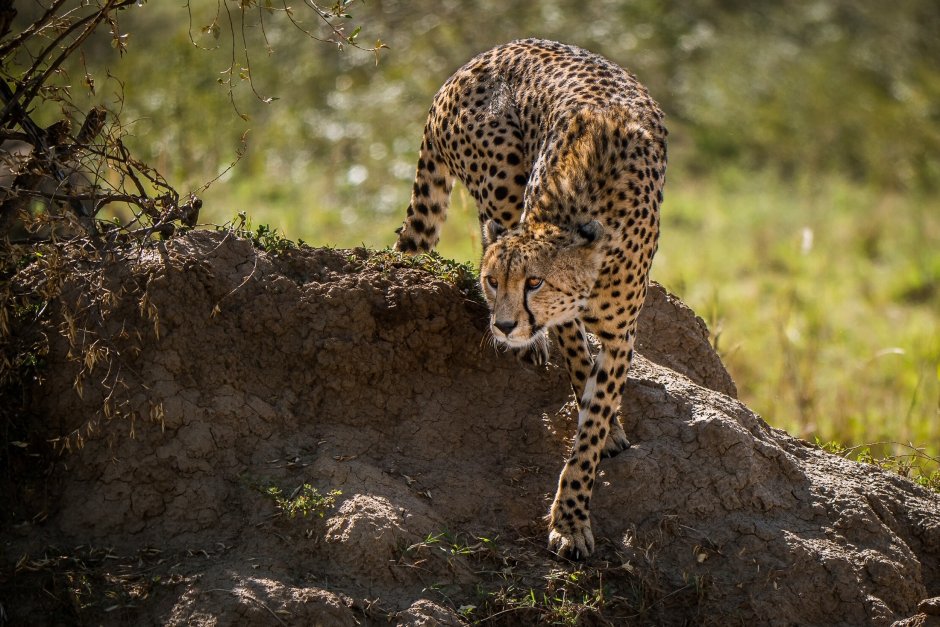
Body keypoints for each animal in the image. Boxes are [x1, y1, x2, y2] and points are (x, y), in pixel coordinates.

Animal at [394, 39, 667, 560]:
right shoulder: (569, 319)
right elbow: (578, 360)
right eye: (491, 282)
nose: (503, 326)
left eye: (534, 282)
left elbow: (594, 417)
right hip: (500, 176)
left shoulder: (621, 334)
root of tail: (475, 61)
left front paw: (573, 511)